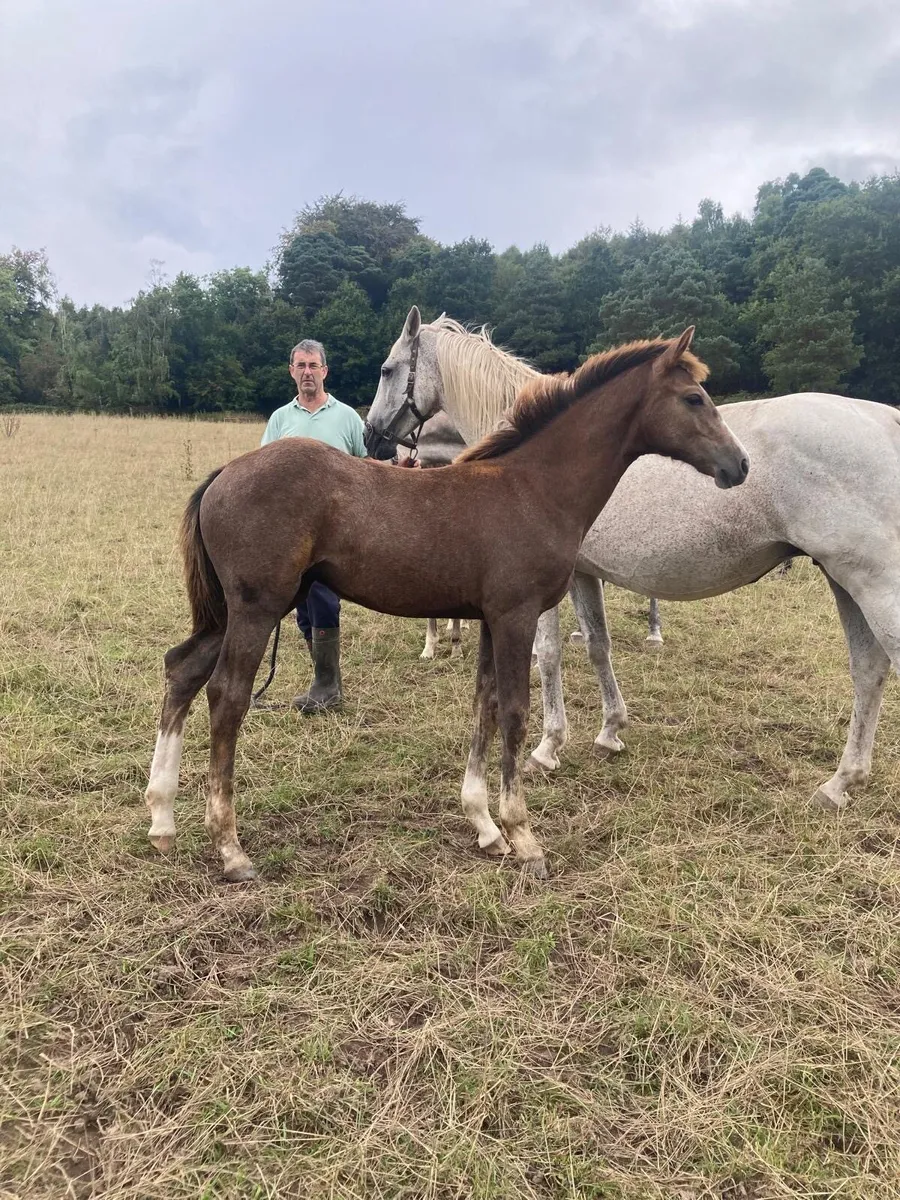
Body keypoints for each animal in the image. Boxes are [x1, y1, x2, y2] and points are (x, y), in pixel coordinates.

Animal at [145, 330, 748, 881]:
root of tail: (225, 473)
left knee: (182, 669)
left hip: (232, 612)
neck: (533, 487)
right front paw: (524, 837)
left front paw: (485, 826)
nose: (739, 464)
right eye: (694, 398)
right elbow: (515, 713)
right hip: (256, 608)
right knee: (226, 696)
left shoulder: (490, 620)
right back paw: (229, 848)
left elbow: (484, 706)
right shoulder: (516, 616)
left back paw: (162, 819)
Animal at [366, 306, 900, 813]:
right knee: (868, 669)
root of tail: (887, 420)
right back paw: (840, 783)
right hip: (843, 580)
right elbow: (597, 646)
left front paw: (548, 747)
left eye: (387, 369)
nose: (373, 438)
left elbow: (550, 654)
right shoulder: (584, 575)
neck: (536, 463)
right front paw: (609, 732)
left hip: (875, 585)